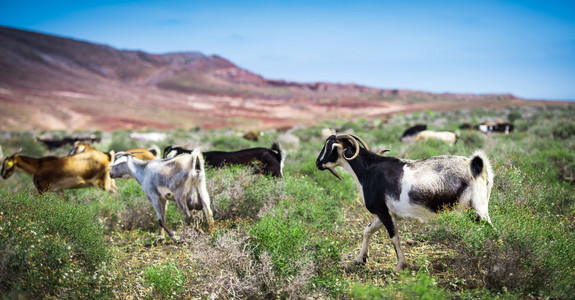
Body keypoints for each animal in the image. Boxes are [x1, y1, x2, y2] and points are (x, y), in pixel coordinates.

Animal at [316, 135, 496, 274]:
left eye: (328, 147)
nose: (318, 163)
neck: (368, 171)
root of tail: (479, 168)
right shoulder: (387, 213)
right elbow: (367, 230)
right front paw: (360, 259)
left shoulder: (383, 212)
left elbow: (394, 237)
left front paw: (399, 266)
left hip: (476, 210)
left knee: (492, 232)